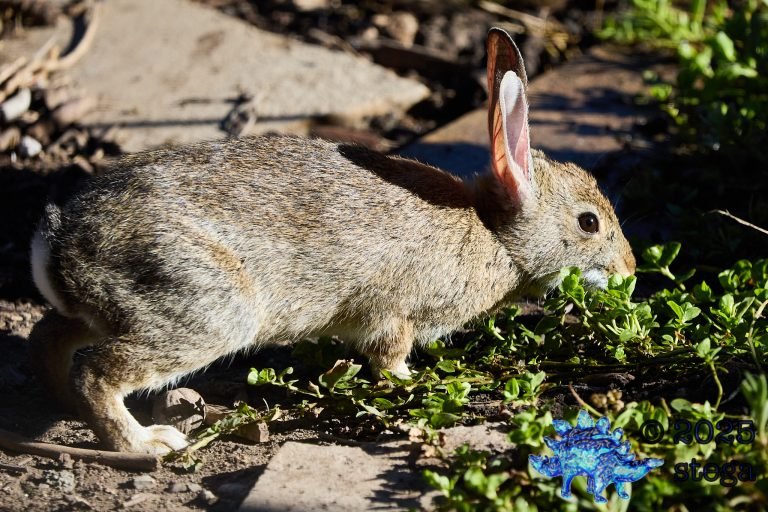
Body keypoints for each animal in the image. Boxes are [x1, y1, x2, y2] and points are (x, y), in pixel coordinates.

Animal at [28, 28, 635, 454]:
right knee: (97, 370)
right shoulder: (395, 313)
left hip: (115, 307)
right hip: (201, 308)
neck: (494, 233)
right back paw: (145, 442)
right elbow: (389, 357)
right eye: (588, 223)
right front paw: (417, 382)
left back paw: (61, 405)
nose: (628, 270)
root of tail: (59, 240)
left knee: (50, 336)